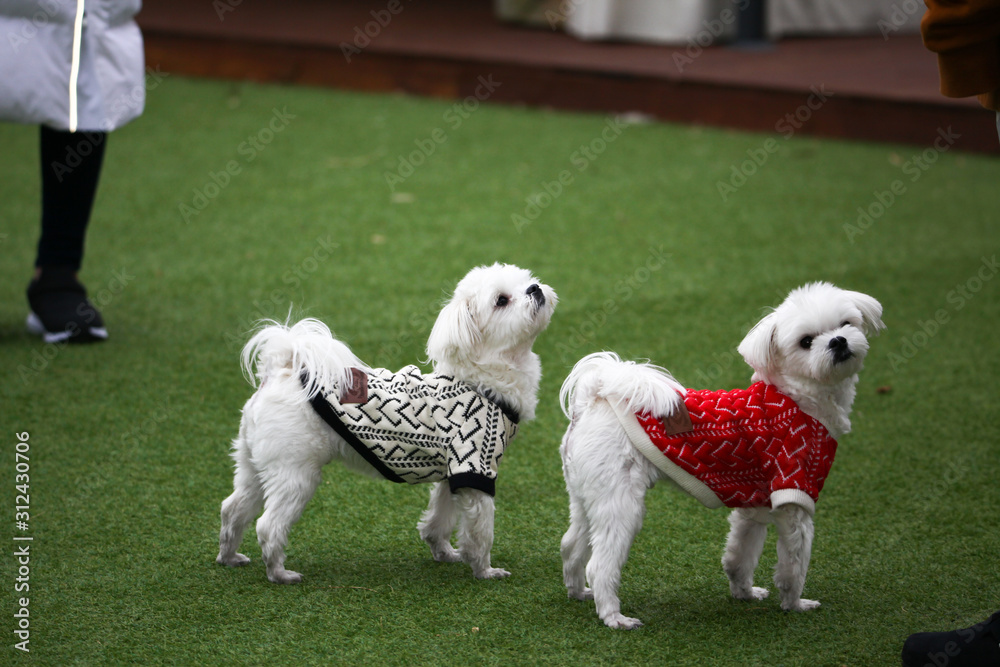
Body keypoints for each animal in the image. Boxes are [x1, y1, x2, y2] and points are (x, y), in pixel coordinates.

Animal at [564, 284, 884, 628]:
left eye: (846, 324)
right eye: (806, 341)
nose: (838, 341)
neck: (799, 399)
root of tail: (594, 399)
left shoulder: (754, 504)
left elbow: (739, 555)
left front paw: (744, 593)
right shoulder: (794, 494)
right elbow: (793, 566)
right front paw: (795, 604)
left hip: (587, 496)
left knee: (571, 545)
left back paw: (578, 592)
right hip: (621, 502)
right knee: (600, 564)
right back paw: (614, 616)